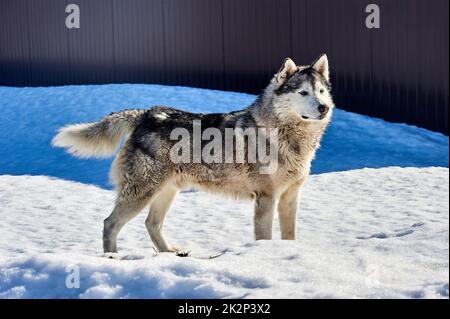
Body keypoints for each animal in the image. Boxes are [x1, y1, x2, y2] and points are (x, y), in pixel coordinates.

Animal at [53, 55, 334, 255]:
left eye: (320, 91)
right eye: (303, 93)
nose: (324, 108)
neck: (289, 137)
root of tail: (144, 114)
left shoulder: (290, 197)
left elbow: (290, 235)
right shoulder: (266, 198)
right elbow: (265, 237)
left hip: (166, 192)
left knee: (151, 224)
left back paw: (170, 253)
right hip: (142, 193)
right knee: (109, 223)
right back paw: (113, 257)